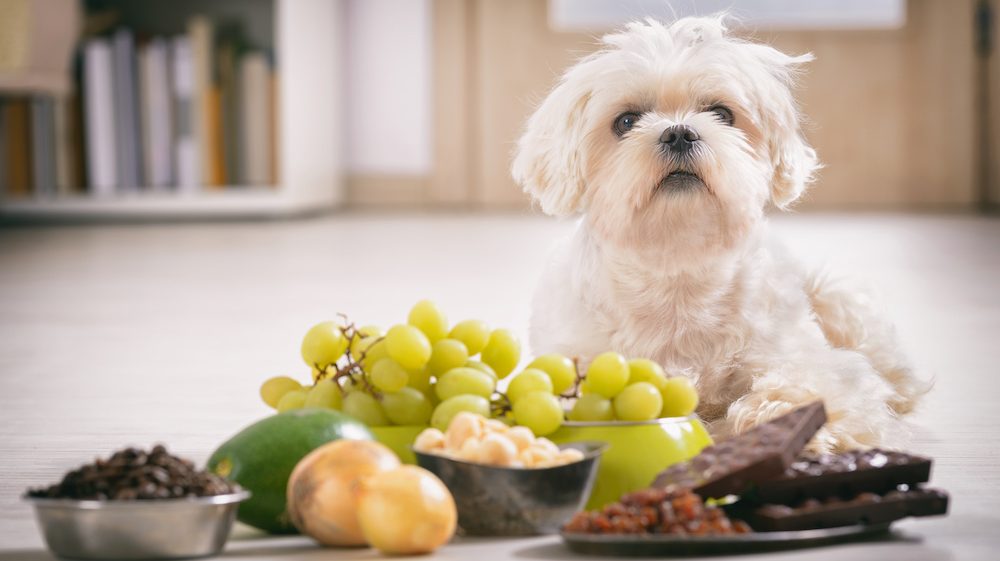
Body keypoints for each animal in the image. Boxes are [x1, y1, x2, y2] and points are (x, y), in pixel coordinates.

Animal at [516, 15, 928, 452]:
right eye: (626, 121)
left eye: (721, 113)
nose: (679, 132)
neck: (678, 264)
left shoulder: (809, 361)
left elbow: (808, 386)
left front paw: (779, 419)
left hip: (834, 297)